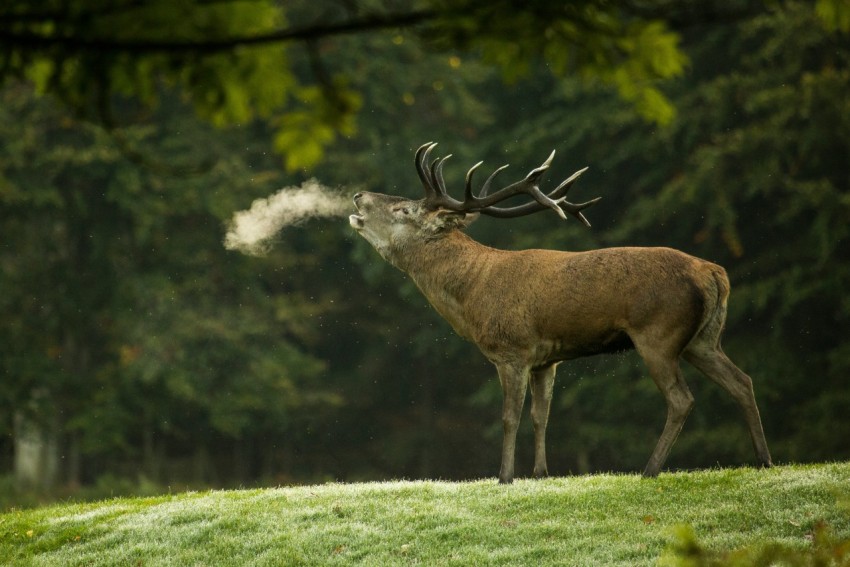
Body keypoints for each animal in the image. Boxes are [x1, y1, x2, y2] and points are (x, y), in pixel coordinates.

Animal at [349, 142, 773, 484]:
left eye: (404, 209)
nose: (357, 196)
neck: (473, 295)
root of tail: (715, 273)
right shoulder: (546, 359)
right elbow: (542, 415)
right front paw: (541, 473)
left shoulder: (512, 350)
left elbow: (510, 417)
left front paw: (505, 477)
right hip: (703, 339)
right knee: (742, 381)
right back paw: (764, 460)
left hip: (659, 334)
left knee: (681, 399)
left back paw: (649, 470)